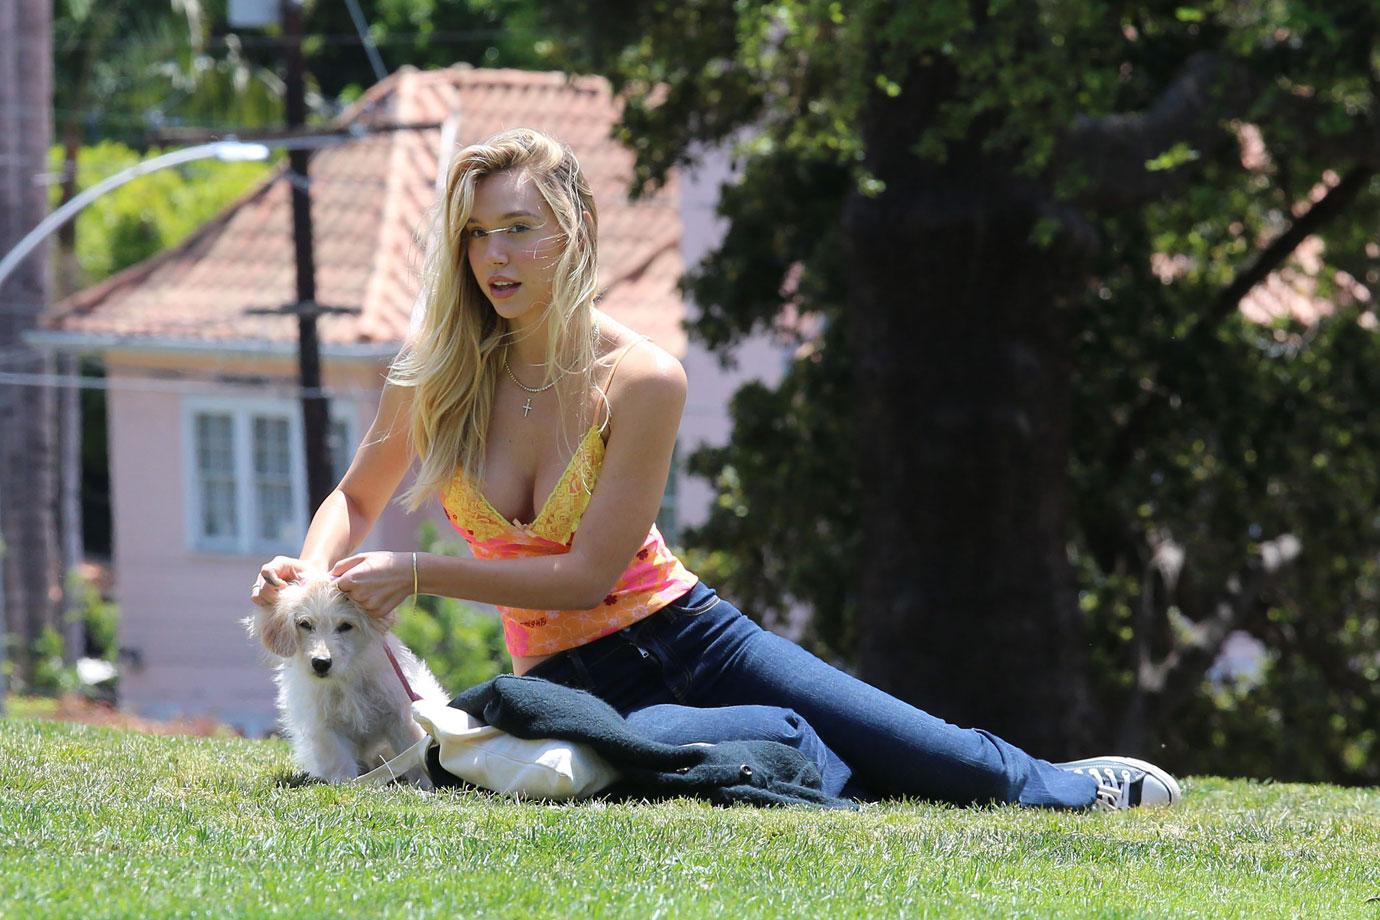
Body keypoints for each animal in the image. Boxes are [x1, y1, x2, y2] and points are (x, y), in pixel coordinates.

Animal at [242, 576, 447, 783]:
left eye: (345, 626)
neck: (345, 677)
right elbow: (339, 759)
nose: (321, 663)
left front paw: (425, 783)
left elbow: (412, 750)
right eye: (305, 624)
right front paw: (346, 784)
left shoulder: (401, 715)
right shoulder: (325, 727)